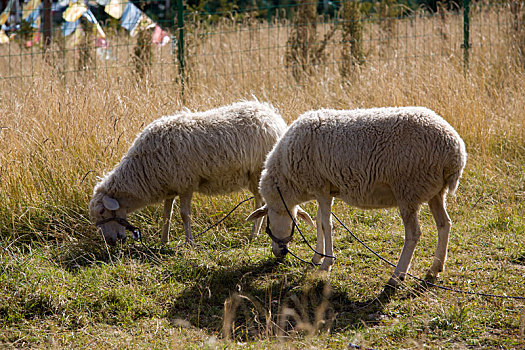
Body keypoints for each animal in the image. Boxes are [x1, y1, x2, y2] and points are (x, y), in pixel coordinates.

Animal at [89, 100, 286, 245]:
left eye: (102, 212)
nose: (110, 241)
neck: (143, 170)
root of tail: (272, 115)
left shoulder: (186, 184)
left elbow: (184, 215)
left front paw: (189, 242)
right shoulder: (170, 188)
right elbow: (166, 215)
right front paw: (163, 241)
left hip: (256, 172)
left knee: (259, 202)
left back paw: (254, 234)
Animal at [247, 106, 466, 288]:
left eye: (267, 222)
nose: (279, 253)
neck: (287, 180)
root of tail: (455, 151)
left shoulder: (320, 186)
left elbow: (326, 225)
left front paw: (327, 263)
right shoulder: (325, 189)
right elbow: (319, 221)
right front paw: (317, 257)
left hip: (408, 189)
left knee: (413, 234)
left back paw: (397, 276)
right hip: (435, 191)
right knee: (444, 224)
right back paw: (435, 268)